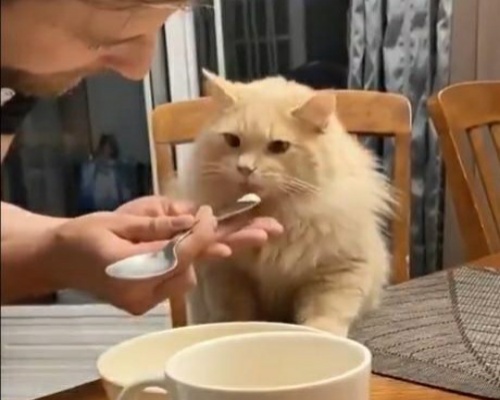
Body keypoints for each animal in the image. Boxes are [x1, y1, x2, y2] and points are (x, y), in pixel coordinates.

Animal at [180, 70, 394, 336]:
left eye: (279, 146)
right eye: (232, 140)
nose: (245, 169)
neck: (278, 213)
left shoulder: (339, 269)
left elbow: (326, 313)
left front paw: (323, 335)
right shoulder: (227, 274)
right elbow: (236, 314)